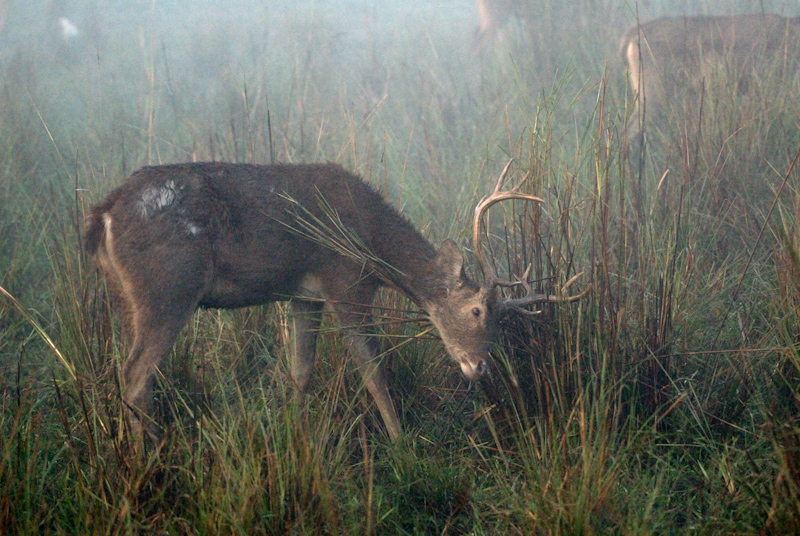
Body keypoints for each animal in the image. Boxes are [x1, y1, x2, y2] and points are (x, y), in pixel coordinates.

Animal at [86, 161, 588, 442]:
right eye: (477, 310)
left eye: (502, 321)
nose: (479, 366)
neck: (369, 238)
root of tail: (101, 216)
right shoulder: (346, 283)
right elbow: (373, 371)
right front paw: (402, 443)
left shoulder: (303, 296)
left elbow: (301, 371)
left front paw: (299, 437)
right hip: (169, 287)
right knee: (137, 375)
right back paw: (150, 460)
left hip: (132, 296)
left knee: (130, 373)